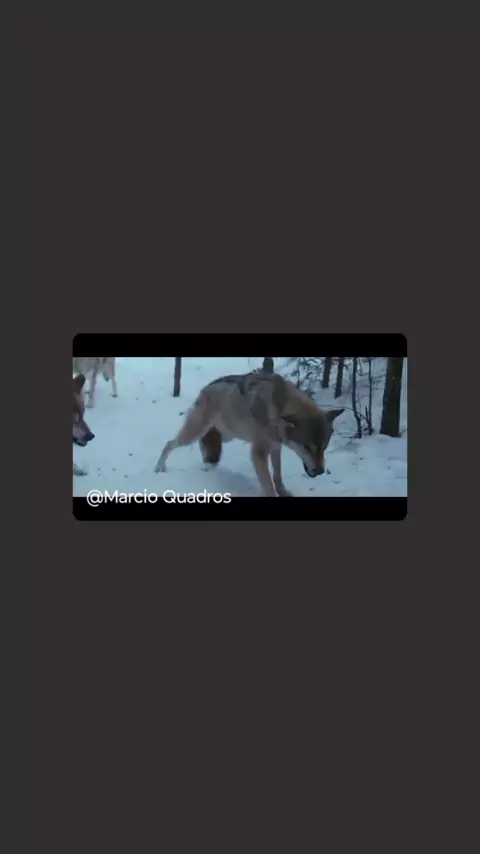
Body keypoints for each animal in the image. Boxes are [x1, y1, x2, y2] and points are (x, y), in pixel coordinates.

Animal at [154, 369, 344, 497]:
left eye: (324, 448)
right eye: (307, 447)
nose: (320, 472)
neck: (278, 408)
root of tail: (205, 388)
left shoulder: (276, 447)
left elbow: (277, 476)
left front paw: (284, 492)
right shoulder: (258, 452)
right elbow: (268, 484)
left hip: (226, 435)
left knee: (206, 443)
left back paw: (208, 464)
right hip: (195, 433)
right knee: (169, 443)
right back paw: (159, 468)